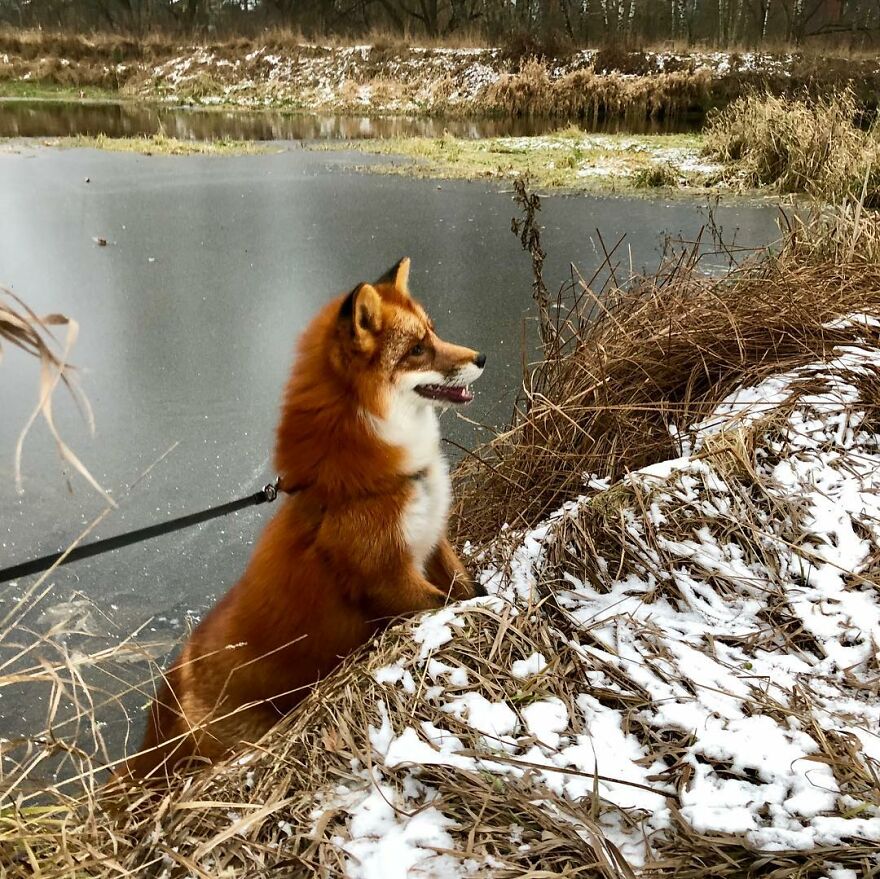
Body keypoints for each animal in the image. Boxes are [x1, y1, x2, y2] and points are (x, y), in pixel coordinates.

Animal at [119, 257, 486, 781]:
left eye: (433, 332)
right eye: (417, 349)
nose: (482, 358)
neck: (364, 479)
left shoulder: (433, 544)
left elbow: (470, 589)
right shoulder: (389, 580)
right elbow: (448, 603)